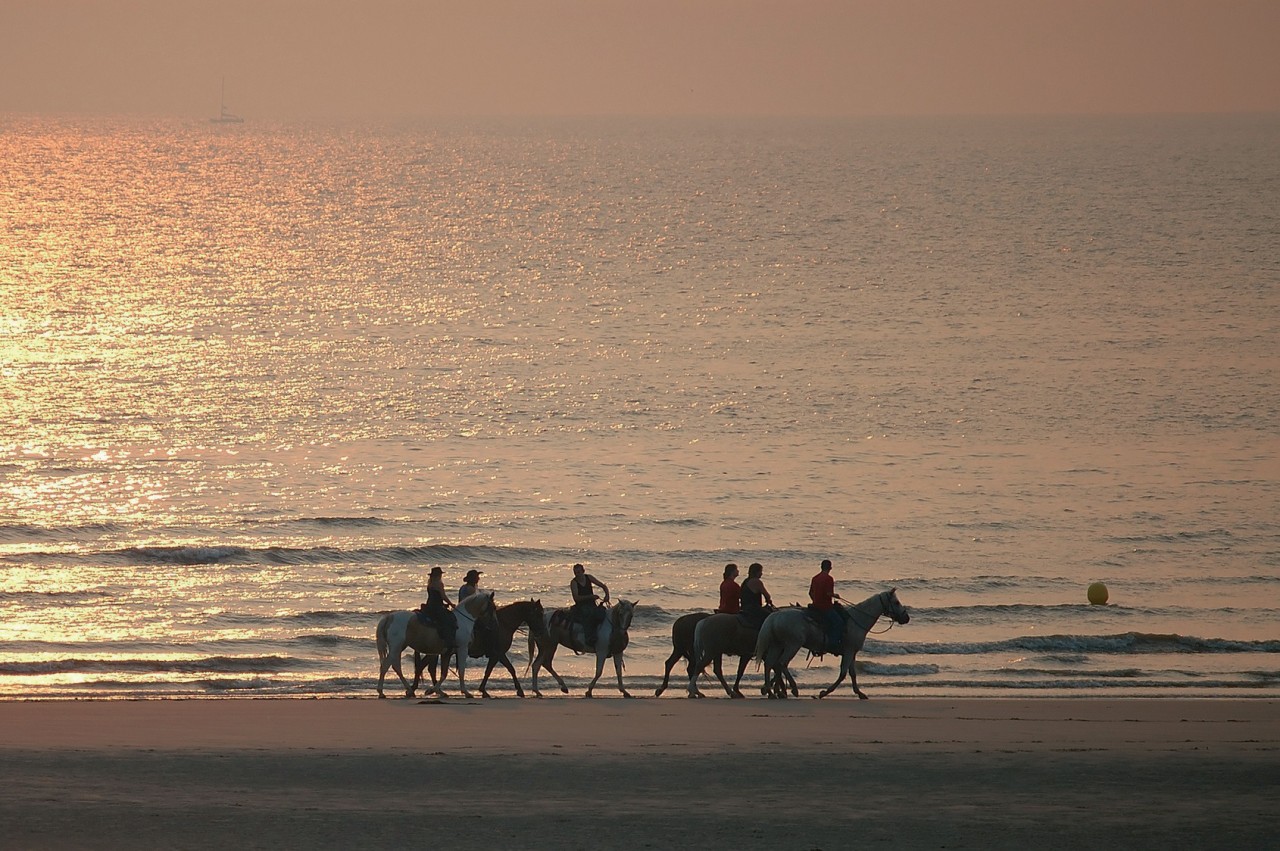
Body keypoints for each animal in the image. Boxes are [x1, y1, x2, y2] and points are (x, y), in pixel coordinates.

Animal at [747, 588, 911, 701]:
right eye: (896, 602)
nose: (906, 618)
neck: (857, 619)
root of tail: (774, 616)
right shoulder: (849, 651)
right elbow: (843, 673)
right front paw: (823, 693)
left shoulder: (851, 652)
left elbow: (852, 673)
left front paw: (859, 693)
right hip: (793, 645)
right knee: (782, 663)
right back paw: (793, 689)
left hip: (778, 645)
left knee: (770, 664)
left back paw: (770, 691)